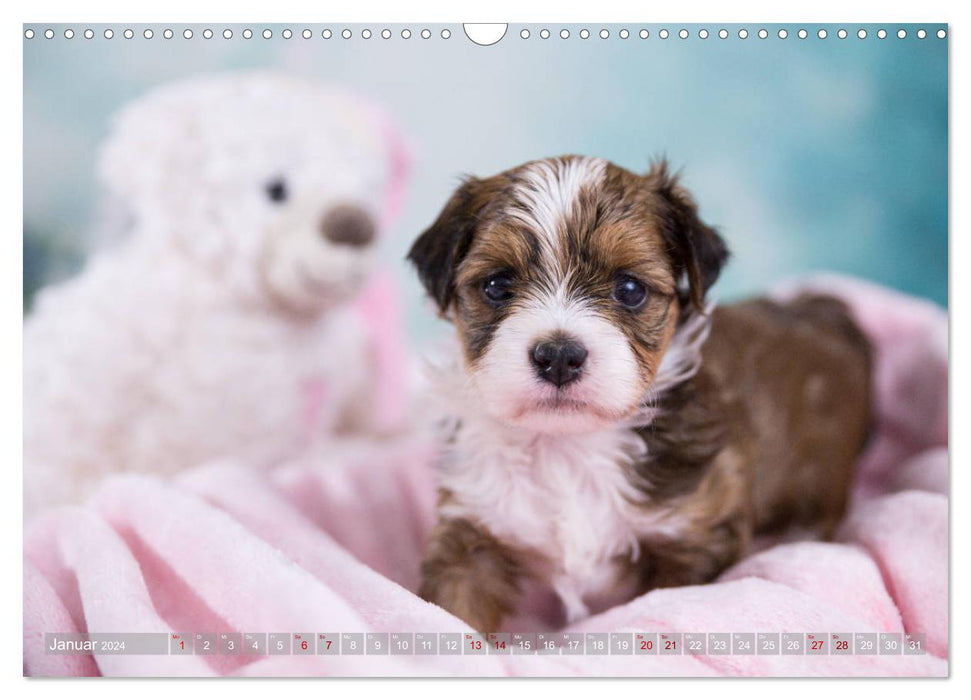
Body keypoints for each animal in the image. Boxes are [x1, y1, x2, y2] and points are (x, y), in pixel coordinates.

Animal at [406, 156, 876, 632]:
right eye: (498, 286)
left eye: (630, 289)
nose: (559, 356)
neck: (567, 445)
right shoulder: (471, 531)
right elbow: (453, 609)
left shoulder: (697, 537)